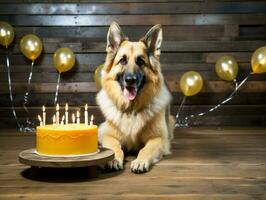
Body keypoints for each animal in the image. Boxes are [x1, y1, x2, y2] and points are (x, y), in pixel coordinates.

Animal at [95, 21, 175, 172]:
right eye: (122, 60)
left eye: (141, 61)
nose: (130, 80)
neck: (131, 110)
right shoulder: (108, 135)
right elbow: (114, 147)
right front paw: (114, 159)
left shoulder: (159, 139)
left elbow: (145, 149)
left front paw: (140, 161)